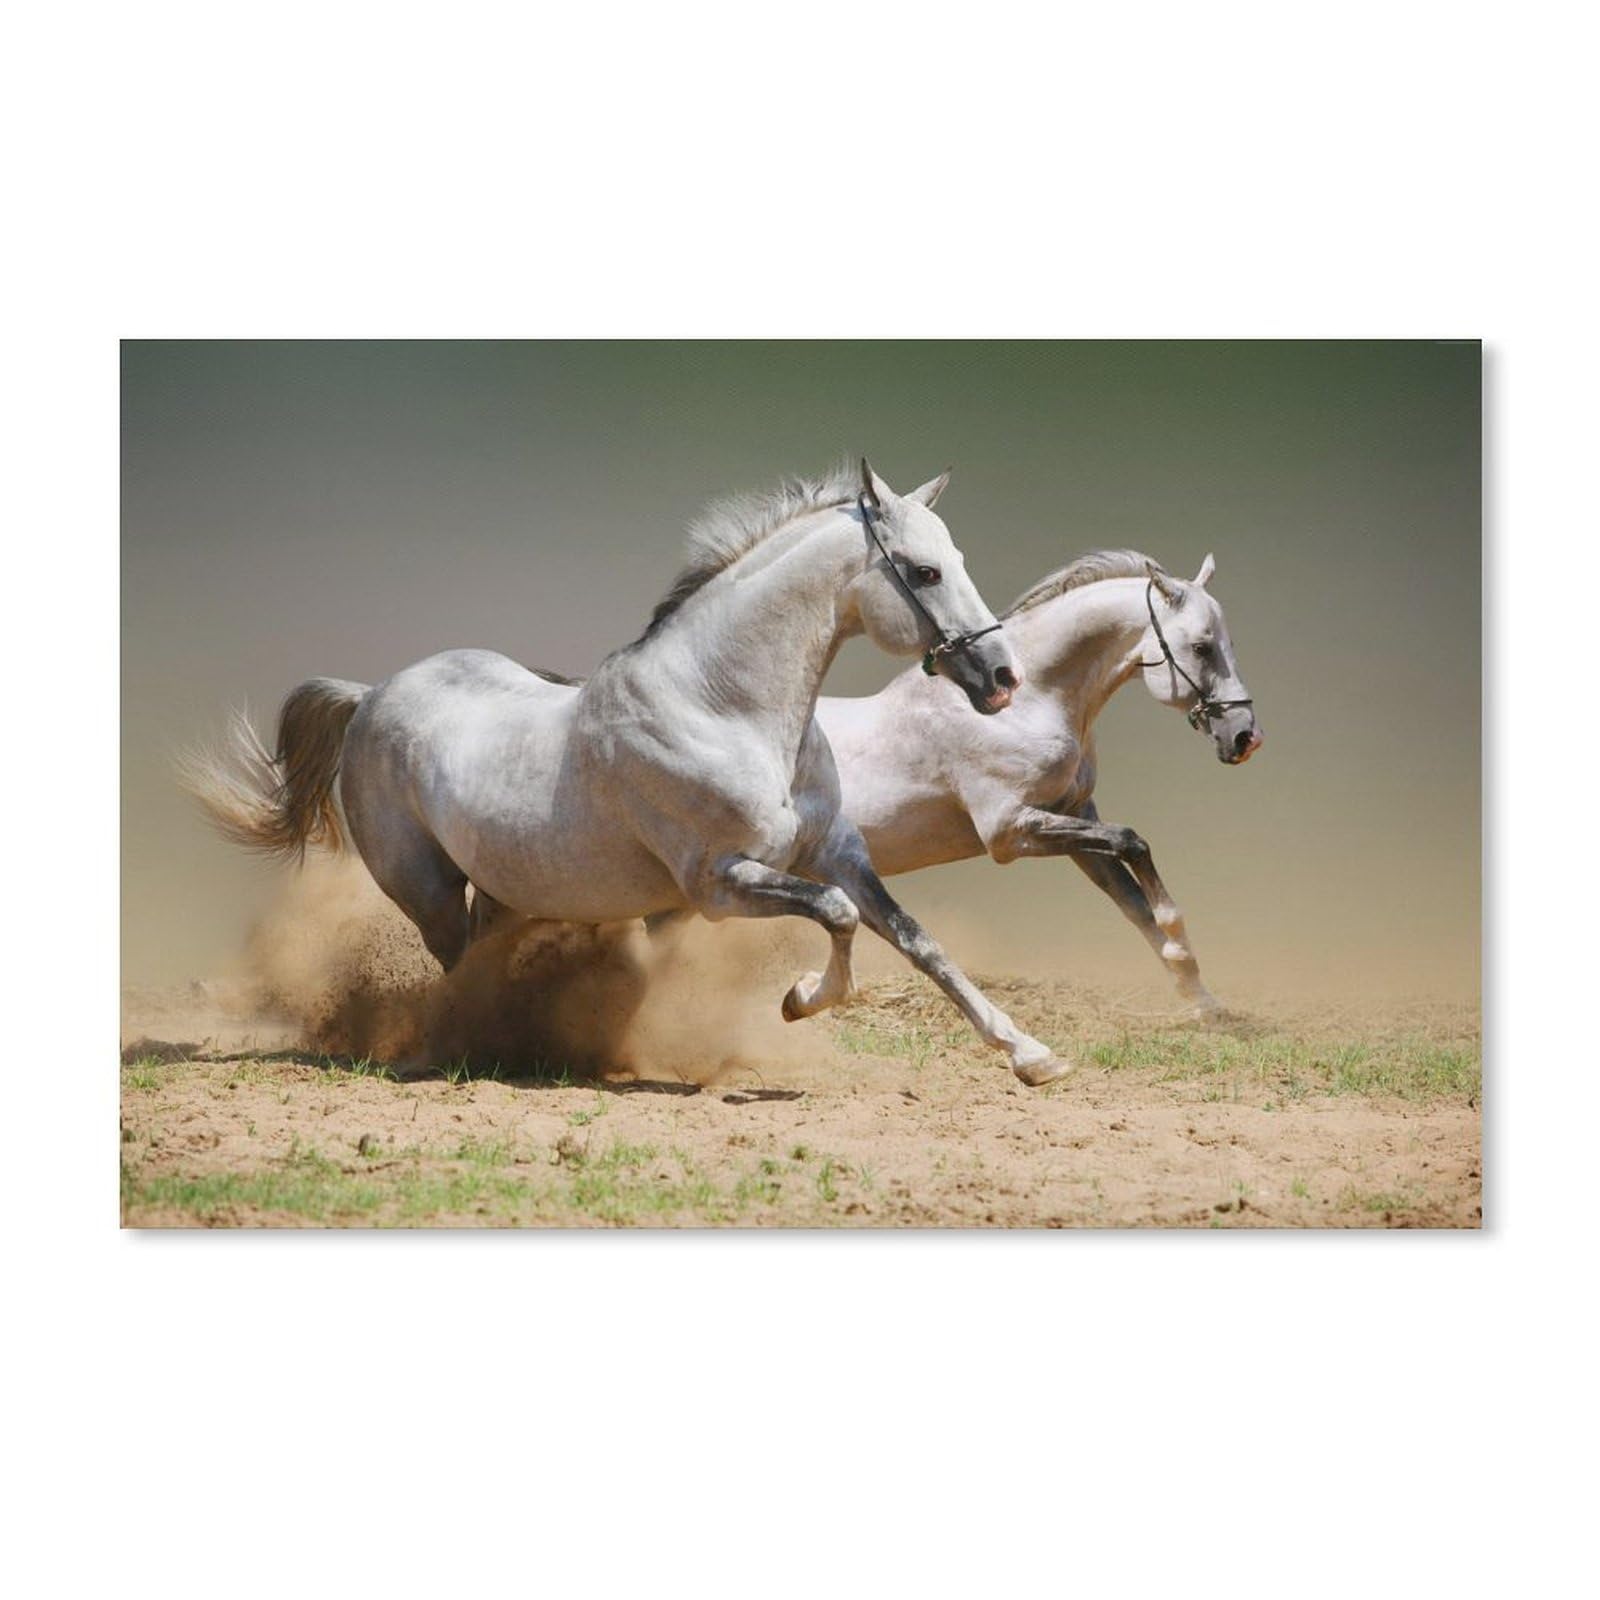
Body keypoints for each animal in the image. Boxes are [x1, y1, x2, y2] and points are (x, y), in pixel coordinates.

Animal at [185, 460, 1073, 1085]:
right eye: (923, 571)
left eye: (955, 557)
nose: (1001, 677)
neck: (723, 706)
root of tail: (370, 695)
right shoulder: (719, 884)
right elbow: (839, 918)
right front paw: (798, 1001)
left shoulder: (836, 852)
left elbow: (917, 941)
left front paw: (1032, 1055)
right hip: (425, 887)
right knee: (455, 966)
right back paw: (476, 1048)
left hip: (505, 888)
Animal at [817, 550, 1262, 1016]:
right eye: (1201, 647)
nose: (1245, 737)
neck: (1025, 705)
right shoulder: (1009, 831)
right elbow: (1132, 842)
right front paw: (1179, 944)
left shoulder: (1075, 818)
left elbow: (1134, 902)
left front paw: (1204, 1001)